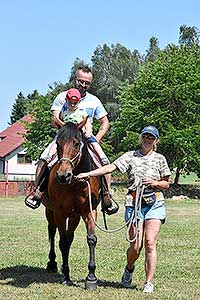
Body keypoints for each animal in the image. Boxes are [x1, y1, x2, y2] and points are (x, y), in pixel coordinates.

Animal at [42, 120, 101, 290]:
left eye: (76, 143)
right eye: (58, 144)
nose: (63, 176)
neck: (75, 183)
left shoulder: (89, 211)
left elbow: (91, 239)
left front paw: (91, 277)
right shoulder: (59, 213)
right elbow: (62, 242)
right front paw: (66, 275)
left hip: (74, 216)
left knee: (69, 237)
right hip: (50, 212)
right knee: (52, 232)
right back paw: (52, 263)